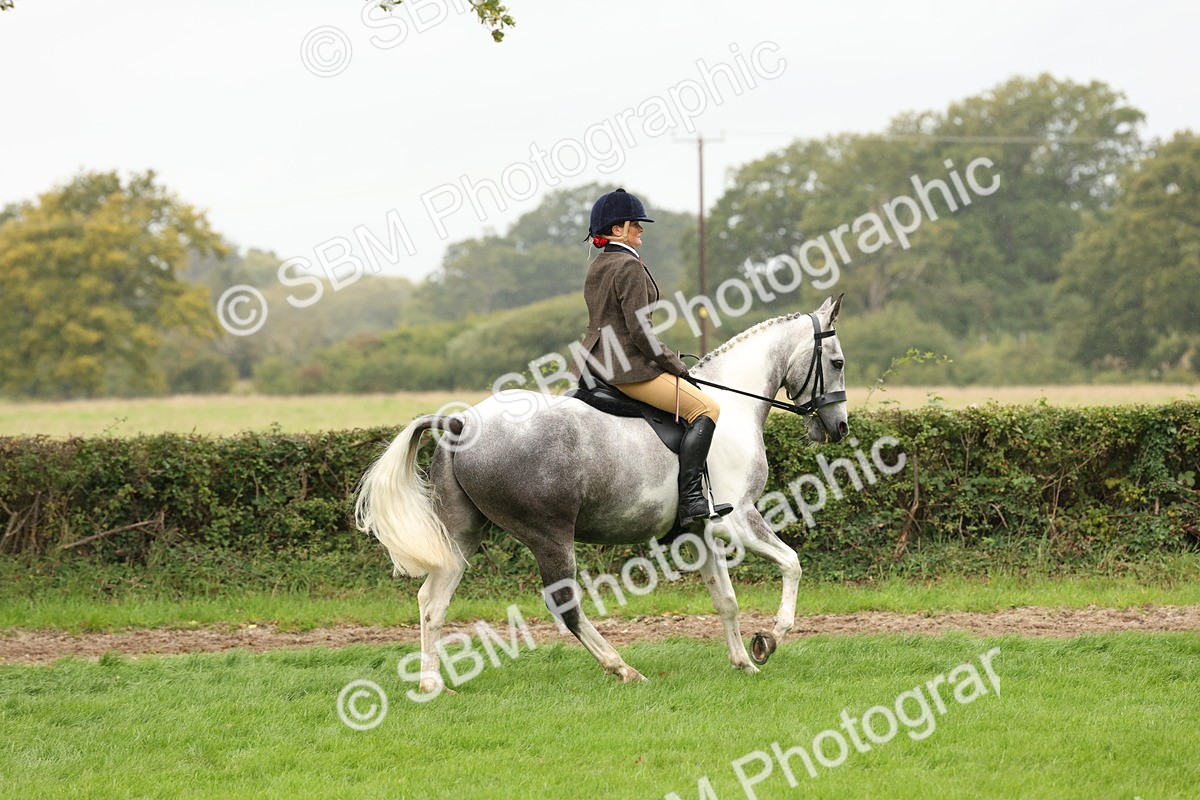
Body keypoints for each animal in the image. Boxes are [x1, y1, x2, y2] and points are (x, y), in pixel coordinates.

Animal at [355, 294, 848, 690]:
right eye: (839, 362)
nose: (839, 427)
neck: (733, 405)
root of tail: (461, 423)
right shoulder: (739, 517)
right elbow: (792, 563)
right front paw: (770, 639)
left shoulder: (701, 528)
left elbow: (725, 600)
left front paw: (744, 661)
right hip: (550, 535)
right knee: (565, 605)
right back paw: (623, 669)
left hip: (462, 536)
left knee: (431, 602)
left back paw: (431, 683)